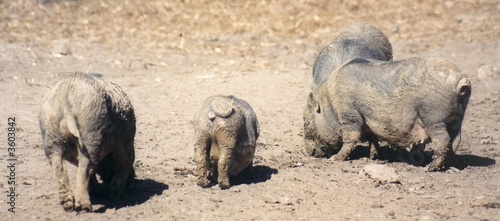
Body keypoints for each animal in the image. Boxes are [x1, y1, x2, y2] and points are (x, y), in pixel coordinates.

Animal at [39, 73, 136, 212]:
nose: (132, 183)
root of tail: (66, 92)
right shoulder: (125, 143)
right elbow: (125, 163)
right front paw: (113, 194)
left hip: (51, 135)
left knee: (59, 167)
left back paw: (68, 205)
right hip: (90, 131)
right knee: (85, 168)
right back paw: (84, 207)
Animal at [302, 56, 470, 171]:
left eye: (306, 122)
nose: (307, 152)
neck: (329, 101)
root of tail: (461, 80)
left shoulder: (350, 115)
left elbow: (351, 138)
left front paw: (334, 159)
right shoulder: (368, 122)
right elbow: (373, 138)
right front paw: (374, 157)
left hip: (433, 118)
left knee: (443, 140)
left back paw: (430, 168)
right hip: (457, 120)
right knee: (455, 140)